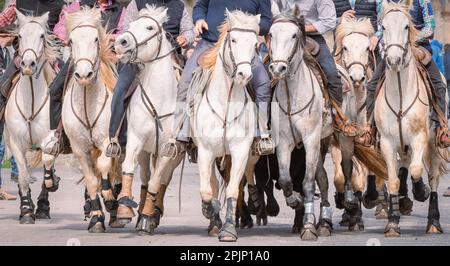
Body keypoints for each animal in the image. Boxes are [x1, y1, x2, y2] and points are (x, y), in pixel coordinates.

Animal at [4, 9, 60, 224]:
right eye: (19, 36)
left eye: (42, 35)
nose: (28, 64)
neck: (31, 102)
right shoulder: (15, 143)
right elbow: (23, 176)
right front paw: (26, 211)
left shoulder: (50, 138)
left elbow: (48, 163)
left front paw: (51, 185)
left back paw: (44, 206)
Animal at [62, 7, 121, 233]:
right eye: (71, 41)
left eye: (96, 39)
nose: (84, 75)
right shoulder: (79, 148)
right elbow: (91, 180)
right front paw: (96, 217)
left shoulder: (107, 141)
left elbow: (105, 167)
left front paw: (109, 198)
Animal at [112, 6, 185, 234]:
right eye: (131, 24)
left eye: (150, 27)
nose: (121, 42)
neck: (159, 99)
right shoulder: (136, 139)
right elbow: (128, 168)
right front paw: (125, 209)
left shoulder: (168, 151)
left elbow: (156, 182)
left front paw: (146, 217)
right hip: (145, 151)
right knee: (144, 177)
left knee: (161, 181)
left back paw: (153, 213)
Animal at [376, 0, 446, 237]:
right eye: (384, 26)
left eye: (407, 26)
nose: (394, 59)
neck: (399, 93)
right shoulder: (387, 142)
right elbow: (393, 180)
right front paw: (392, 223)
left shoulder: (419, 138)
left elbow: (417, 171)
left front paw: (420, 191)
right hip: (402, 143)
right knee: (404, 165)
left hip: (434, 144)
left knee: (433, 177)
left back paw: (433, 221)